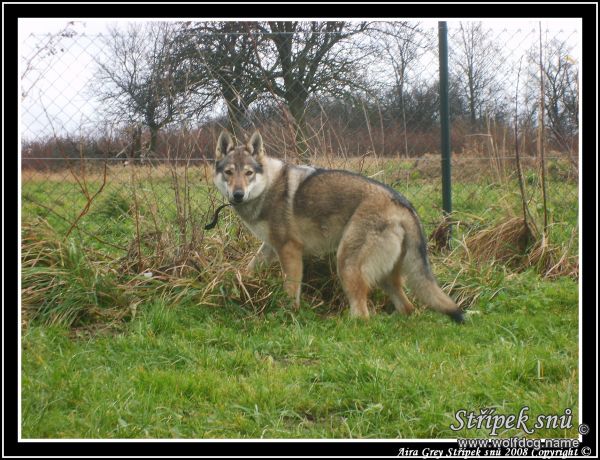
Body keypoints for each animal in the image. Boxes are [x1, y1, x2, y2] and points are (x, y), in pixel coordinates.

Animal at [212, 129, 464, 324]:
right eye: (229, 172)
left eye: (248, 173)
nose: (238, 194)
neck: (267, 189)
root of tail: (402, 203)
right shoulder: (271, 247)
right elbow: (250, 268)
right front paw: (238, 283)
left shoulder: (289, 250)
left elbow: (291, 290)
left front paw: (287, 314)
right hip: (384, 276)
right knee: (408, 308)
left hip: (346, 264)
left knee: (363, 317)